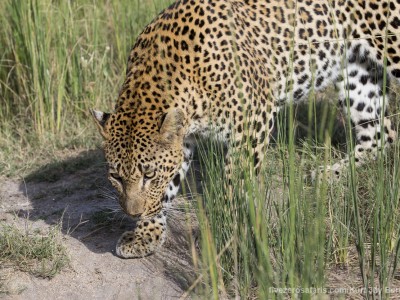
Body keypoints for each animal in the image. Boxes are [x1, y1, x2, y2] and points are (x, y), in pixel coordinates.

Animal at [92, 0, 400, 258]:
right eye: (115, 177)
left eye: (148, 175)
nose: (133, 213)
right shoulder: (184, 139)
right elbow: (167, 189)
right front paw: (146, 234)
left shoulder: (254, 120)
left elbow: (235, 183)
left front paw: (228, 231)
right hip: (356, 72)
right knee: (382, 135)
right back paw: (328, 174)